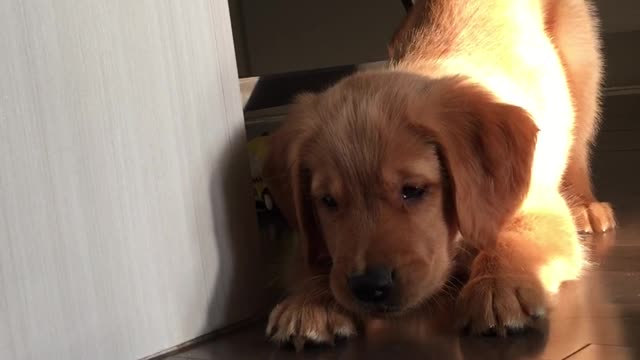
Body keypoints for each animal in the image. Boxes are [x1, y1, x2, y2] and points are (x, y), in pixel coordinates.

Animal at [264, 0, 616, 348]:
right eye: (327, 201)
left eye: (413, 190)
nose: (369, 286)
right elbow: (315, 257)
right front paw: (309, 301)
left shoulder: (539, 207)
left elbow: (513, 237)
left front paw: (496, 286)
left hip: (581, 62)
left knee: (578, 146)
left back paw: (585, 206)